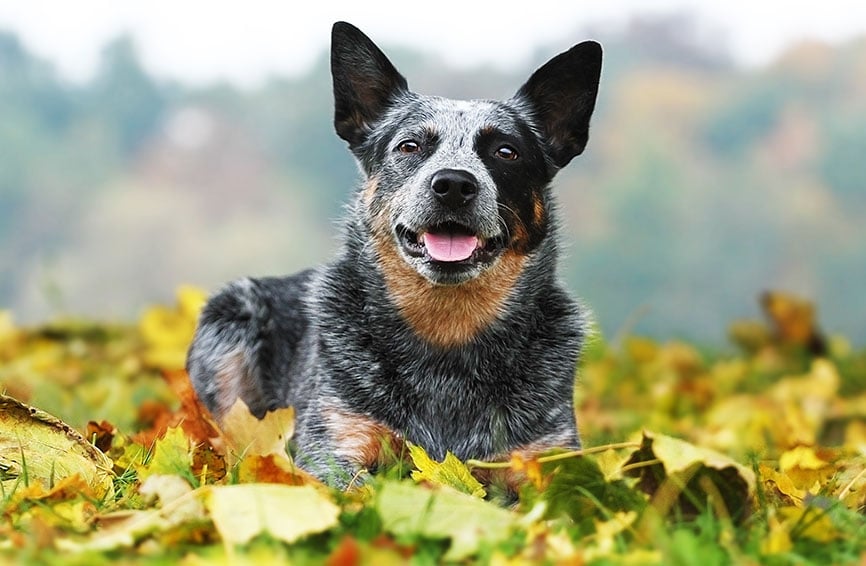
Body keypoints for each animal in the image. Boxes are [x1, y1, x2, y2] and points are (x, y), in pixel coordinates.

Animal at [186, 20, 596, 486]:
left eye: (506, 151)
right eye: (409, 146)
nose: (454, 184)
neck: (447, 336)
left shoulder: (547, 458)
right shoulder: (335, 447)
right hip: (230, 320)